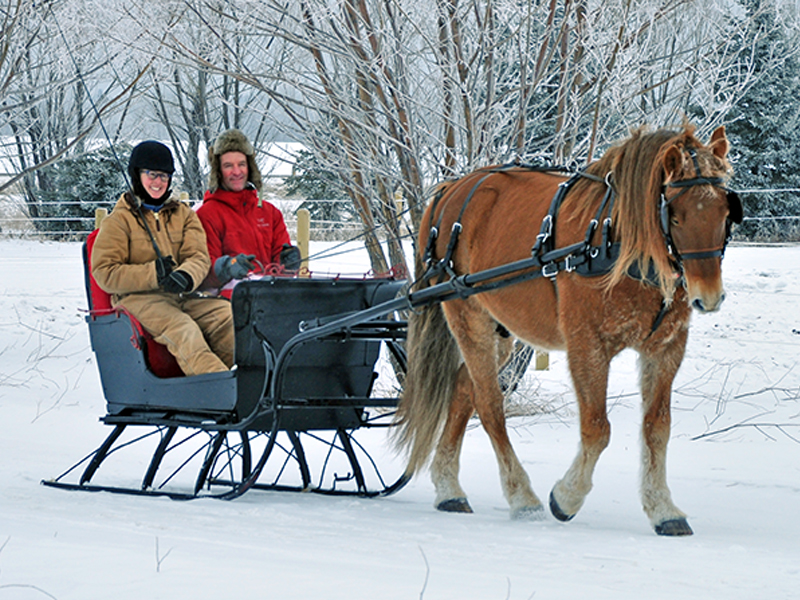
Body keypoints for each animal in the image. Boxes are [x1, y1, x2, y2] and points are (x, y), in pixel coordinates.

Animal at [394, 123, 741, 536]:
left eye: (725, 211)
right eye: (674, 215)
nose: (709, 297)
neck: (613, 241)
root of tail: (451, 189)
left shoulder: (665, 348)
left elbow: (657, 428)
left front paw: (663, 509)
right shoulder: (586, 345)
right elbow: (597, 428)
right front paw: (566, 497)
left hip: (501, 330)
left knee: (465, 389)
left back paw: (449, 489)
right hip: (467, 314)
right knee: (490, 404)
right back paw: (521, 496)